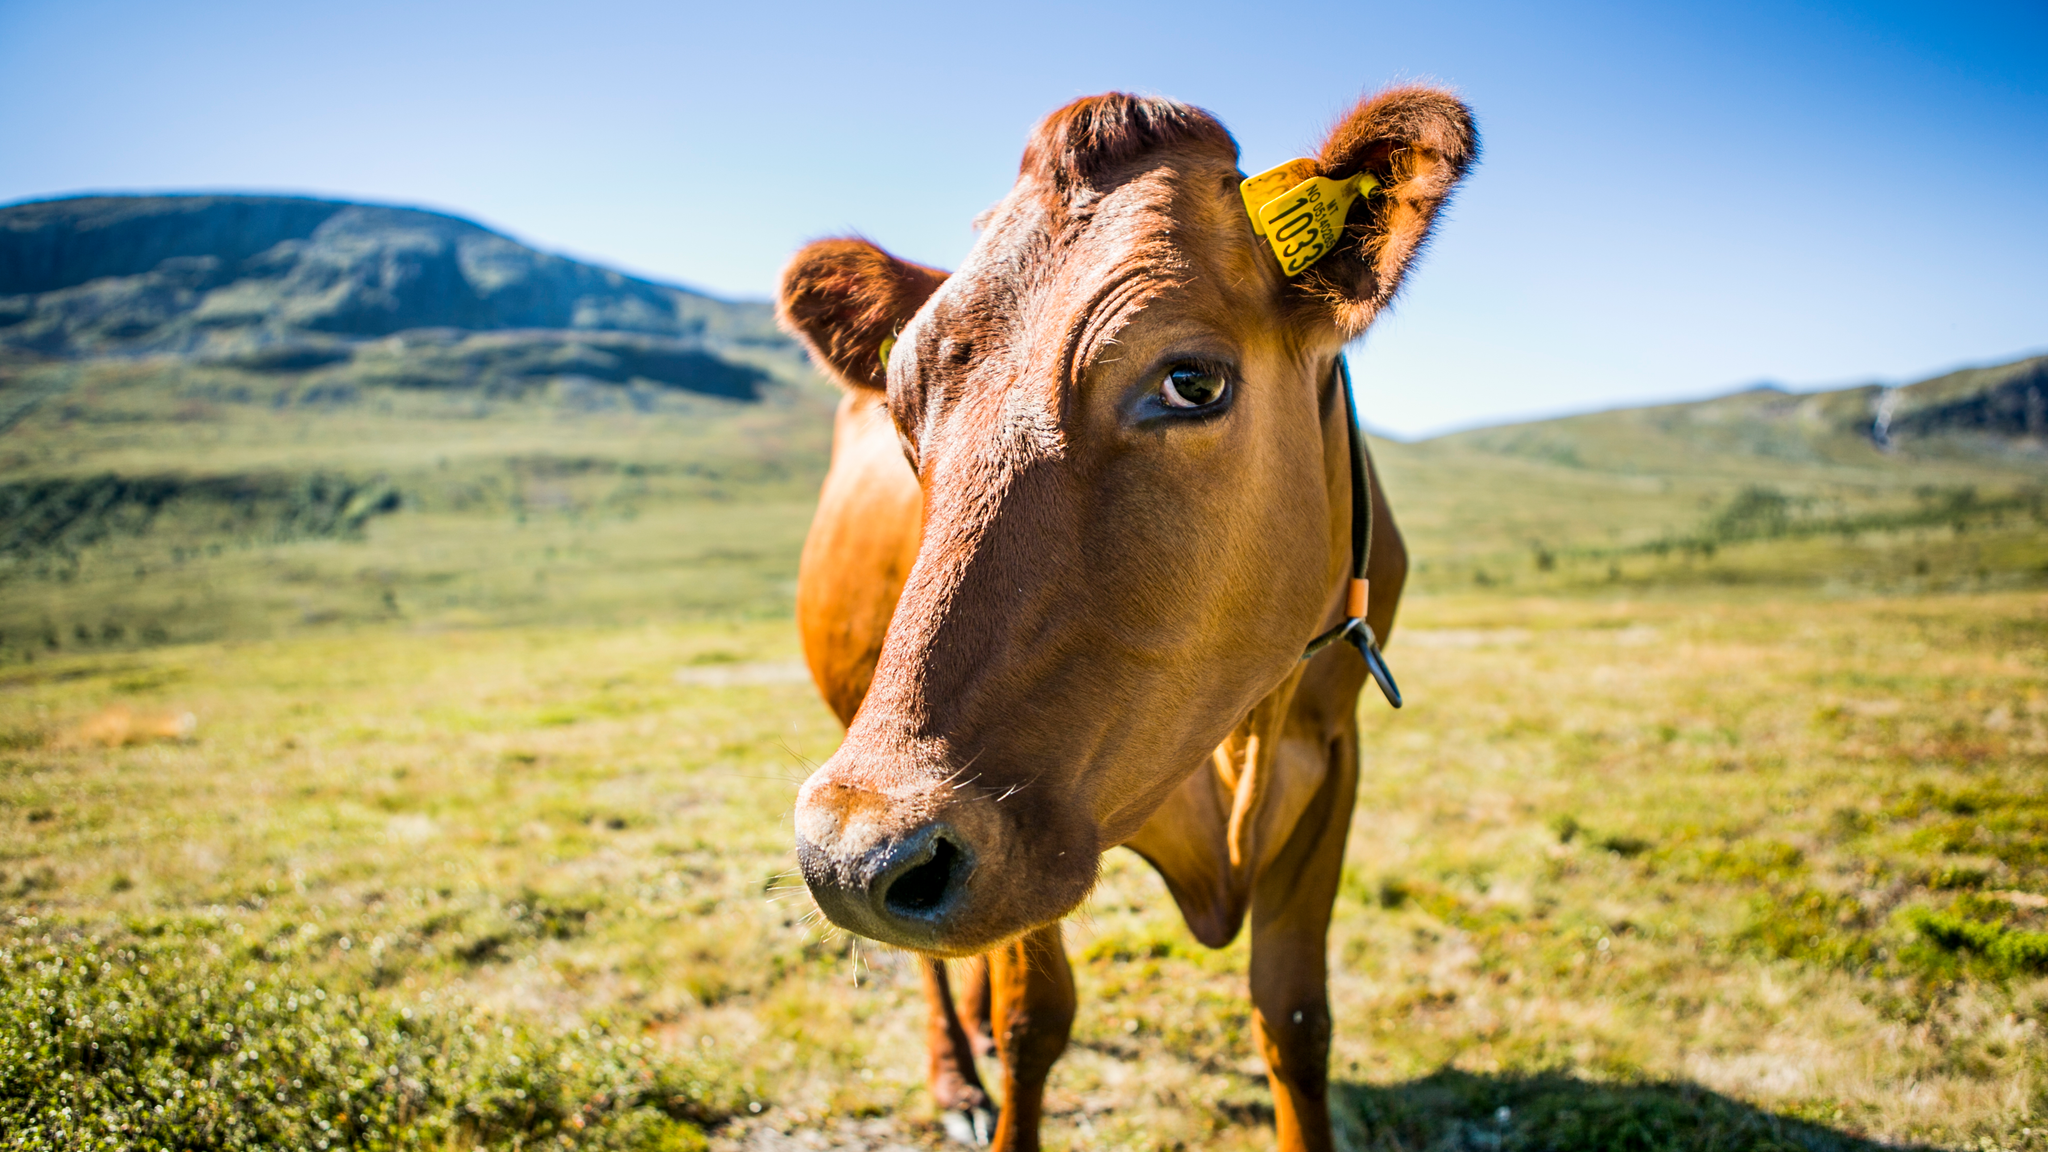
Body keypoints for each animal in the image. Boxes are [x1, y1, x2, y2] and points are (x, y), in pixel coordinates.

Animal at [777, 86, 1477, 1152]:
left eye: (1193, 381)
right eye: (905, 413)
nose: (851, 856)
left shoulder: (1335, 753)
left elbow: (1295, 1018)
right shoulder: (1024, 813)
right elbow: (1035, 1018)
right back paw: (956, 1077)